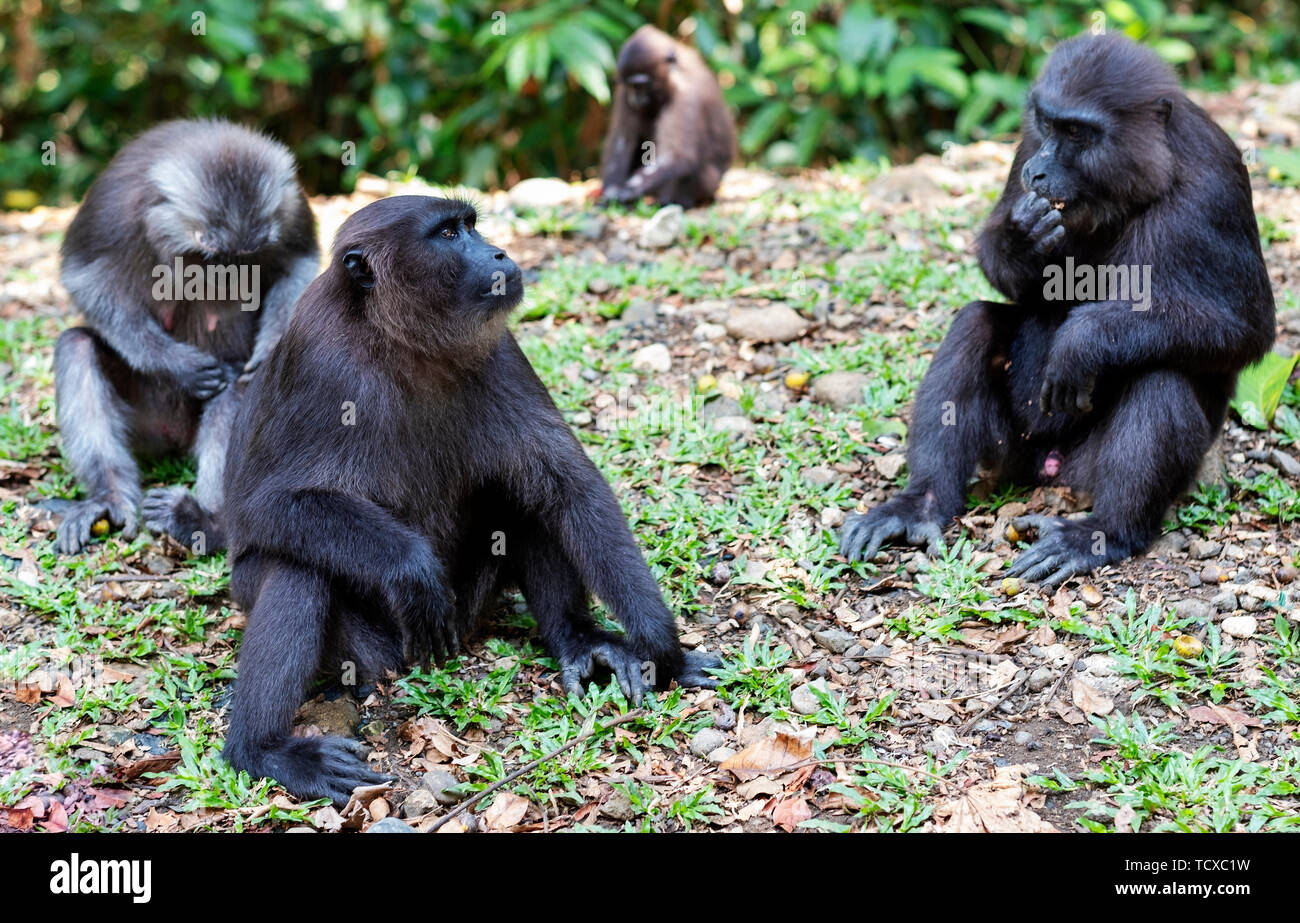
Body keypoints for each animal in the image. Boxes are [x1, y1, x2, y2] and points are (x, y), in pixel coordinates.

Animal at [55, 122, 319, 556]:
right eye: (212, 257)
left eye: (247, 258)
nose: (228, 278)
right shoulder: (114, 207)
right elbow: (85, 277)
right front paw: (178, 365)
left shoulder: (292, 204)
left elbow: (298, 262)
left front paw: (269, 349)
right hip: (147, 420)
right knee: (76, 347)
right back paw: (110, 496)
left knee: (237, 387)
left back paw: (208, 524)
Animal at [218, 197, 717, 811]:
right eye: (450, 233)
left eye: (470, 227)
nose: (499, 253)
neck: (397, 337)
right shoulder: (321, 359)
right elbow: (259, 507)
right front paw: (409, 567)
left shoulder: (497, 347)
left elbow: (566, 483)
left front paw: (662, 651)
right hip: (375, 647)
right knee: (296, 565)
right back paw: (263, 750)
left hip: (466, 608)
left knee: (521, 499)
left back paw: (579, 641)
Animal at [600, 24, 738, 209]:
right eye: (631, 86)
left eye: (641, 85)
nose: (635, 98)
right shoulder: (623, 93)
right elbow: (622, 142)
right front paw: (611, 191)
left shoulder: (686, 94)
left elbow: (675, 155)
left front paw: (627, 190)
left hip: (709, 183)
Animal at [837, 36, 1274, 590]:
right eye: (1048, 125)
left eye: (1077, 133)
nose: (1038, 171)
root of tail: (1049, 468)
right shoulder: (1024, 146)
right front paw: (1021, 241)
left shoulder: (1216, 184)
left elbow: (1246, 328)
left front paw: (1083, 341)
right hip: (1014, 448)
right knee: (975, 323)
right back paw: (921, 503)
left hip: (1085, 467)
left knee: (1160, 373)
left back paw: (1104, 533)